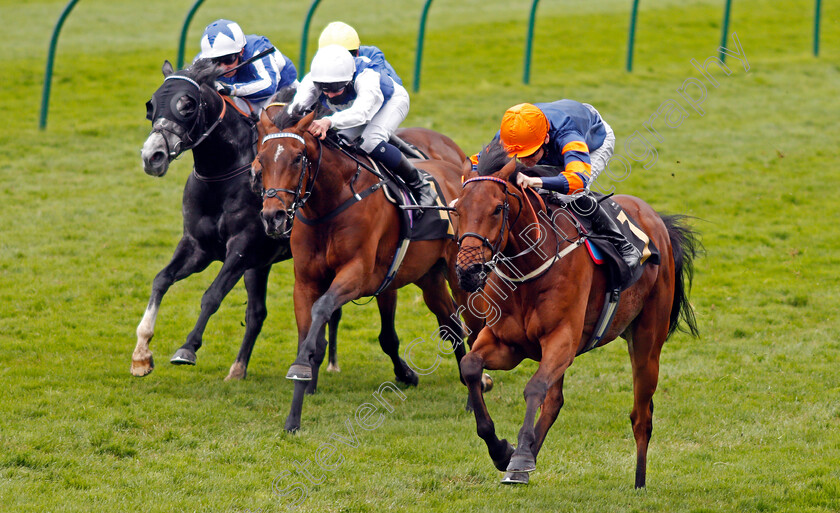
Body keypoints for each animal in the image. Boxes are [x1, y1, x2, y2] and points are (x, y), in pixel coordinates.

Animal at [133, 60, 340, 380]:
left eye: (187, 105)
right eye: (150, 105)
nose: (151, 156)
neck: (223, 176)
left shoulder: (243, 247)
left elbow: (212, 295)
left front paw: (187, 348)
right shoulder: (198, 247)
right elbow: (161, 280)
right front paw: (141, 354)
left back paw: (330, 362)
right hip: (261, 266)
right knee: (257, 313)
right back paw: (238, 369)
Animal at [253, 108, 482, 432]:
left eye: (298, 157)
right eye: (261, 158)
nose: (273, 216)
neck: (329, 206)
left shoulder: (358, 274)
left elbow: (323, 309)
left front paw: (302, 373)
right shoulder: (306, 281)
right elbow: (307, 330)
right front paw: (297, 405)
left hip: (458, 272)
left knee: (471, 324)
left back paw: (474, 393)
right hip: (429, 277)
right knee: (451, 322)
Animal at [450, 142, 700, 486]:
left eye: (497, 209)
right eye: (456, 210)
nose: (467, 271)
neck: (529, 269)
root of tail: (655, 218)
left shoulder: (562, 340)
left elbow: (534, 388)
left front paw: (519, 455)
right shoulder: (506, 343)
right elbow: (471, 367)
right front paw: (502, 452)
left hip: (647, 342)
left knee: (642, 416)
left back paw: (639, 482)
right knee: (555, 401)